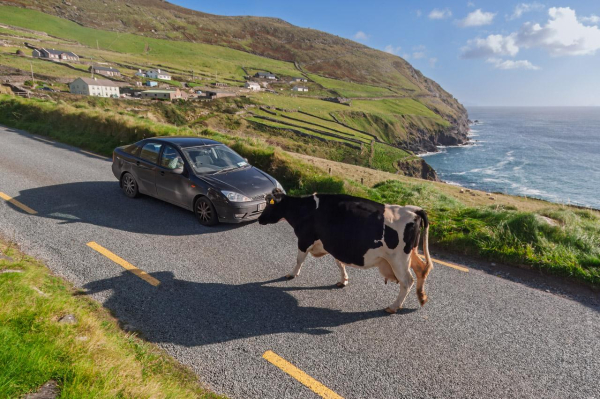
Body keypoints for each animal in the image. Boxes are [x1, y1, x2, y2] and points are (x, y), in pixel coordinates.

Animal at [256, 189, 432, 314]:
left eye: (269, 204)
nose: (259, 219)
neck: (304, 210)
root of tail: (413, 210)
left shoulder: (305, 239)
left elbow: (299, 259)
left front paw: (292, 274)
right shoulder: (334, 244)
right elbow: (339, 263)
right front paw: (343, 280)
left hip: (398, 259)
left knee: (407, 281)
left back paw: (393, 306)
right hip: (411, 253)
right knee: (422, 269)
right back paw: (422, 296)